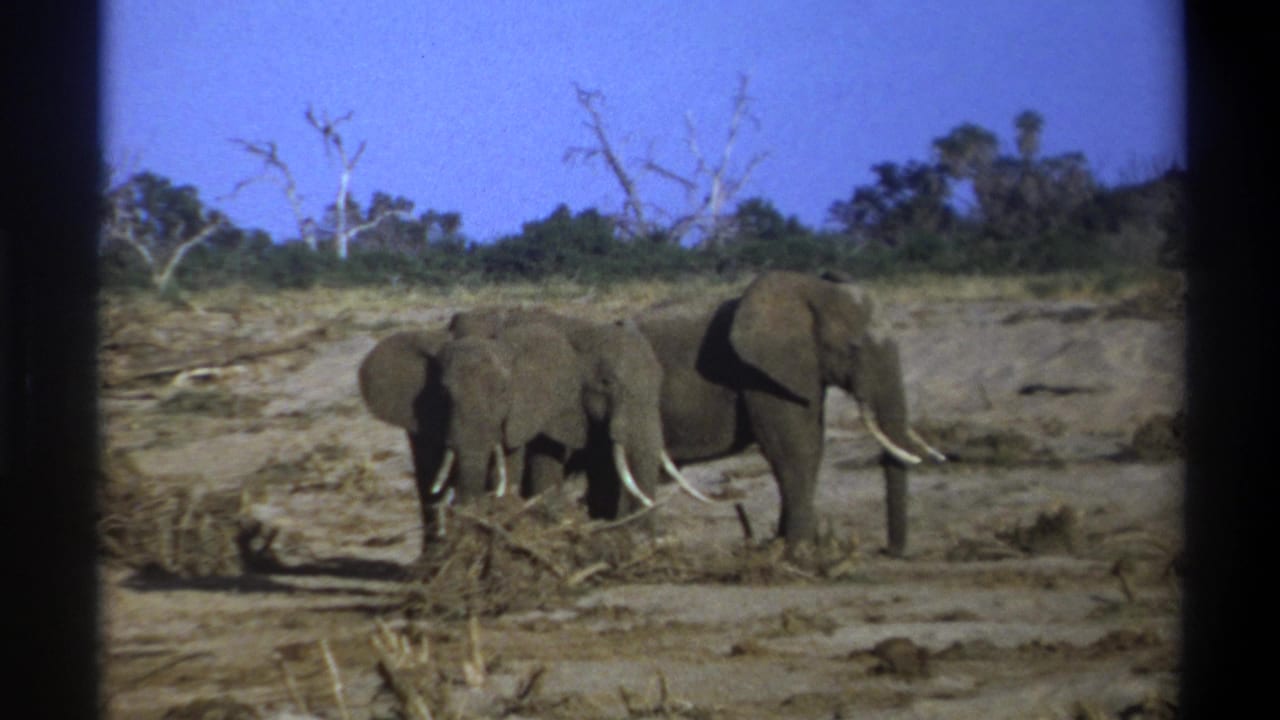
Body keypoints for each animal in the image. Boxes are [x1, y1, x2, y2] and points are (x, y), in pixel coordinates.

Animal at [634, 271, 944, 556]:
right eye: (853, 348)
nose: (888, 551)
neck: (812, 290)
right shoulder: (767, 372)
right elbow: (793, 448)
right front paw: (799, 552)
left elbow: (812, 445)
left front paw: (783, 546)